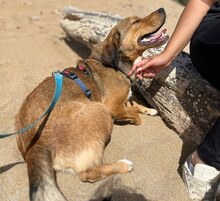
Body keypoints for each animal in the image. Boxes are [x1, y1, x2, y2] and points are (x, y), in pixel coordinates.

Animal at [15, 7, 168, 201]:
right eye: (136, 21)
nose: (162, 9)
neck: (116, 64)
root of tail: (34, 147)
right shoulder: (111, 107)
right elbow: (133, 113)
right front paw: (133, 119)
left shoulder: (123, 101)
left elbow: (134, 105)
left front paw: (148, 109)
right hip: (100, 111)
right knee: (89, 172)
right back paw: (123, 165)